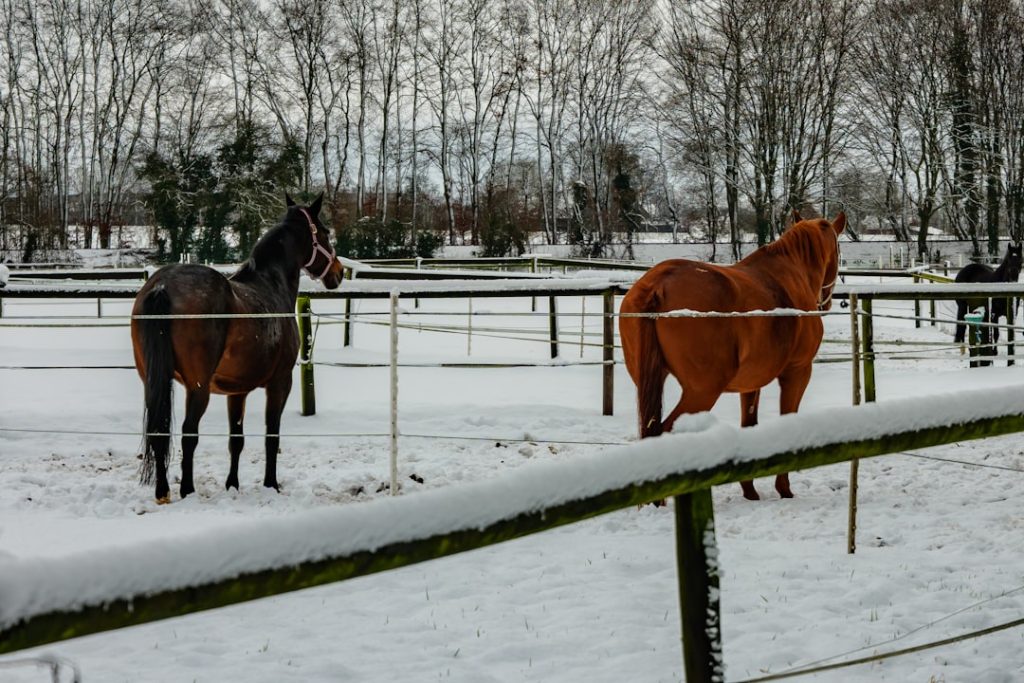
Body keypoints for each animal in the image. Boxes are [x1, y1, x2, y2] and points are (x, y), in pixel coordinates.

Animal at [130, 193, 343, 503]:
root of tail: (162, 286)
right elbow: (271, 436)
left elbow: (237, 440)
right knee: (188, 433)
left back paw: (163, 492)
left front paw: (232, 484)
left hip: (153, 381)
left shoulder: (236, 391)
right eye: (325, 233)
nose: (339, 272)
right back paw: (187, 490)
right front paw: (271, 484)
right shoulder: (280, 383)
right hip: (198, 388)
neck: (271, 285)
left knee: (159, 431)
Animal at [619, 212, 845, 501]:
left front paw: (749, 490)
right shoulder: (797, 372)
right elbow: (786, 420)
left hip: (651, 383)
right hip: (701, 391)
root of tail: (658, 285)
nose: (827, 302)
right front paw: (784, 489)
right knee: (666, 431)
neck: (791, 275)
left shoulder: (750, 384)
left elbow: (749, 425)